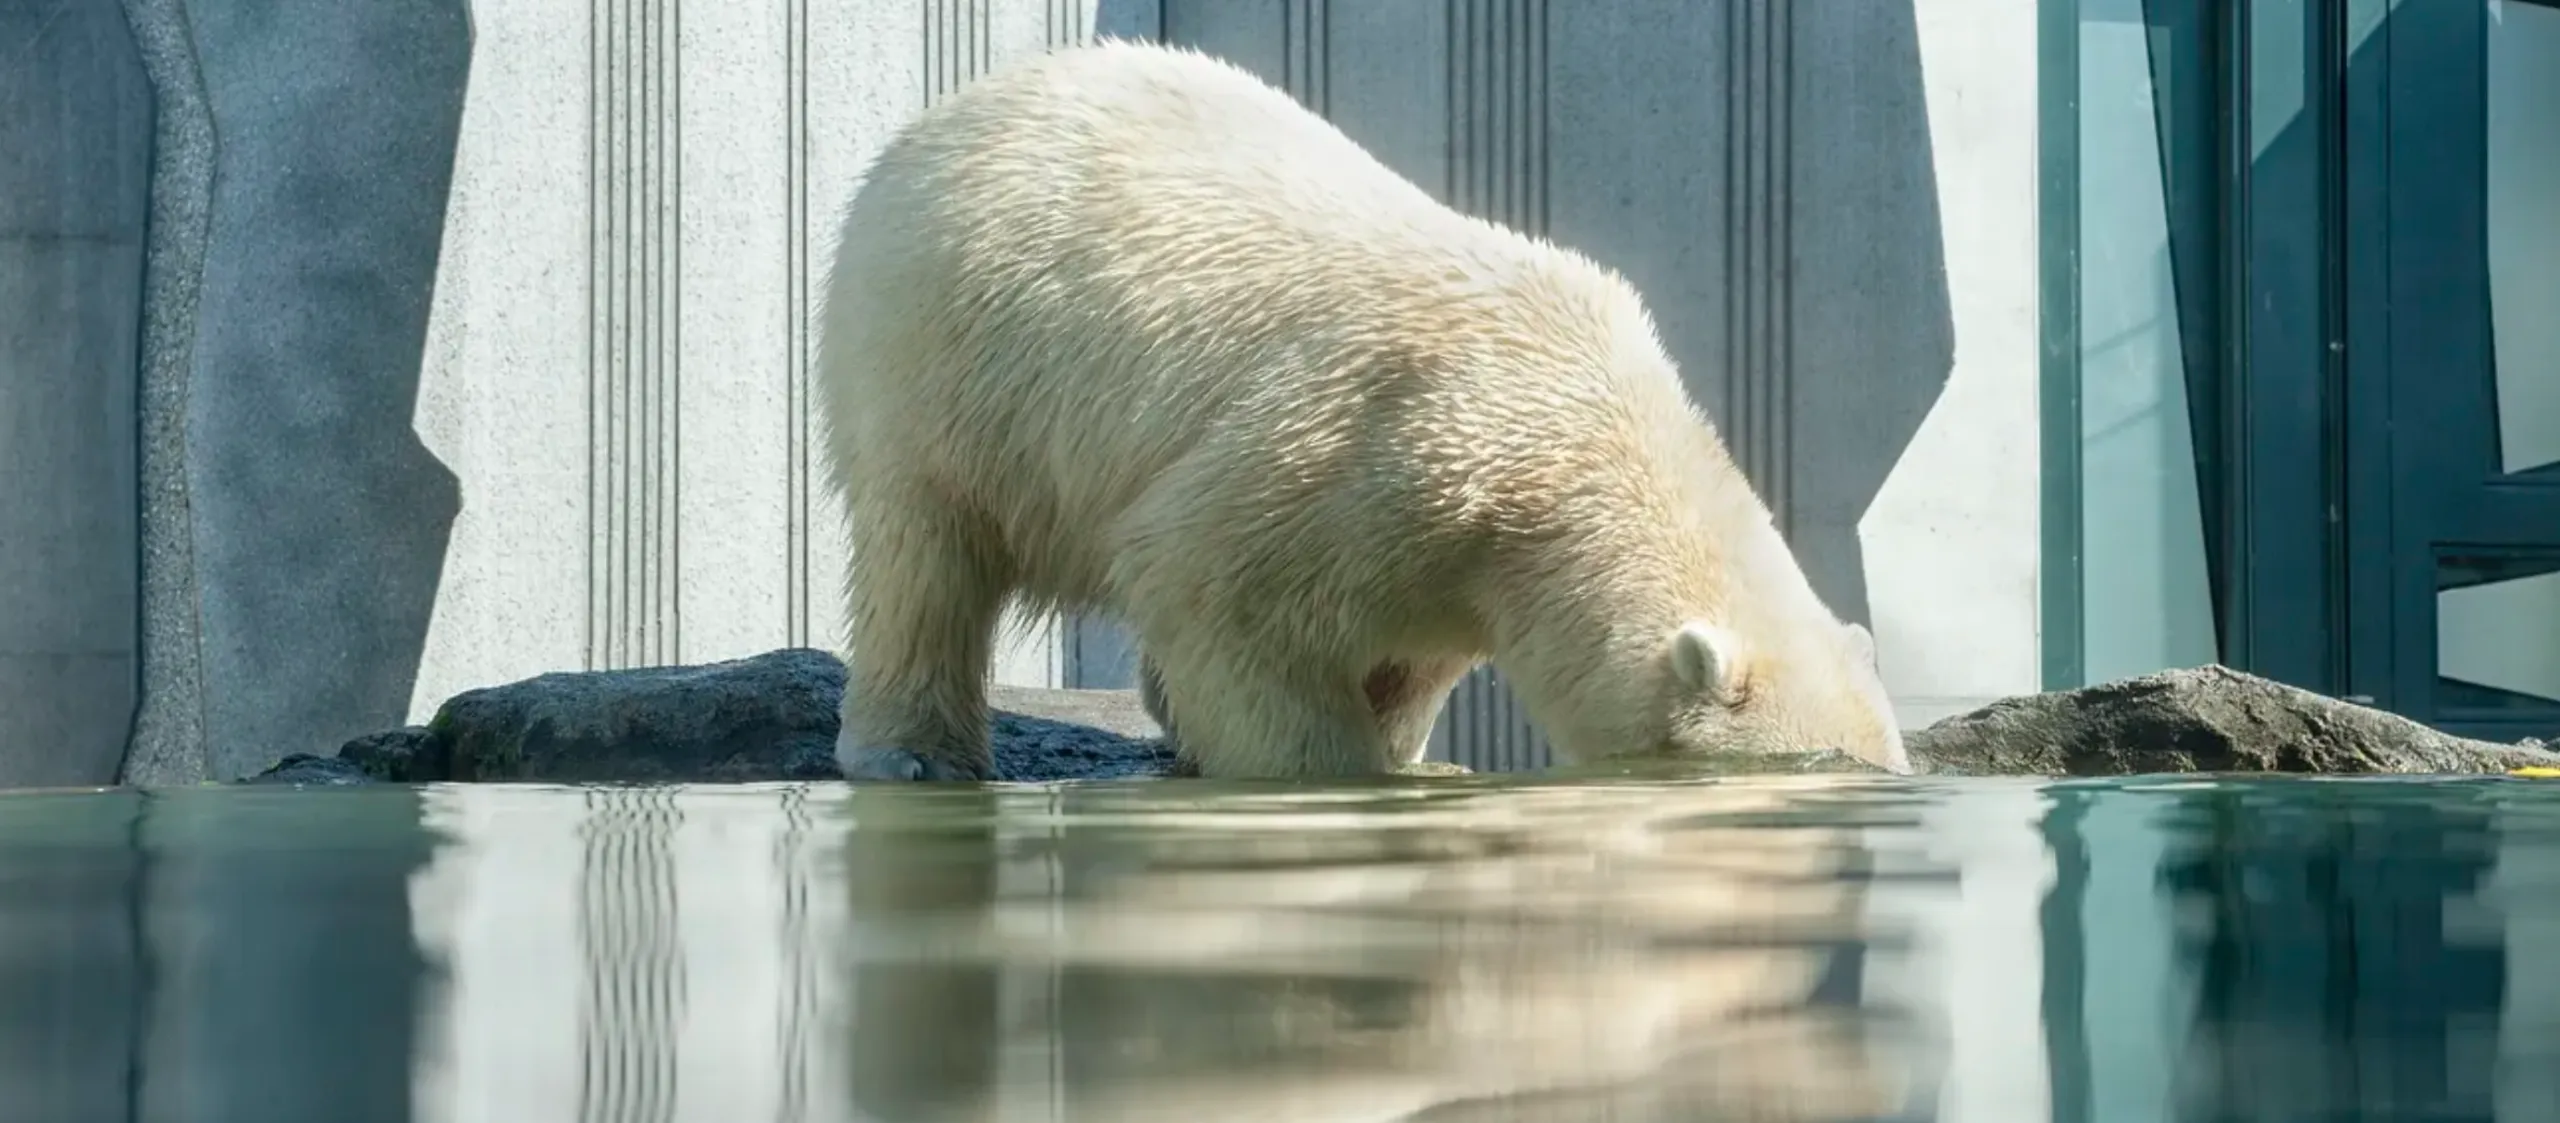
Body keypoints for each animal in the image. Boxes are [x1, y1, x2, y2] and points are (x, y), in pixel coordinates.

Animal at [814, 39, 1910, 782]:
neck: (1576, 435)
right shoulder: (1381, 445)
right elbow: (1210, 580)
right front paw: (1334, 770)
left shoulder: (1459, 553)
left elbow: (1409, 651)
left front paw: (1406, 754)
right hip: (945, 356)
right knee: (925, 552)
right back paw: (916, 753)